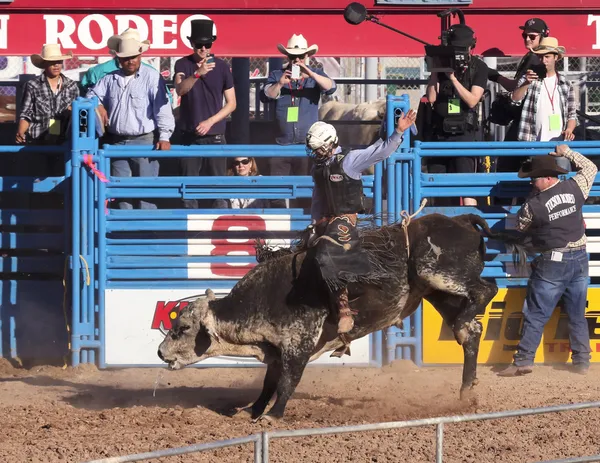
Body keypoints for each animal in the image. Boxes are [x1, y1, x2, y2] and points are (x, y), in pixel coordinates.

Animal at [157, 214, 524, 420]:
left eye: (183, 327)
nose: (160, 353)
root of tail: (461, 220)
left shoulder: (299, 346)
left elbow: (287, 383)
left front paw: (274, 416)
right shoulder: (276, 351)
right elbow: (268, 384)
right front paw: (251, 410)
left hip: (436, 272)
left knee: (486, 289)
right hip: (436, 291)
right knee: (471, 331)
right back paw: (465, 386)